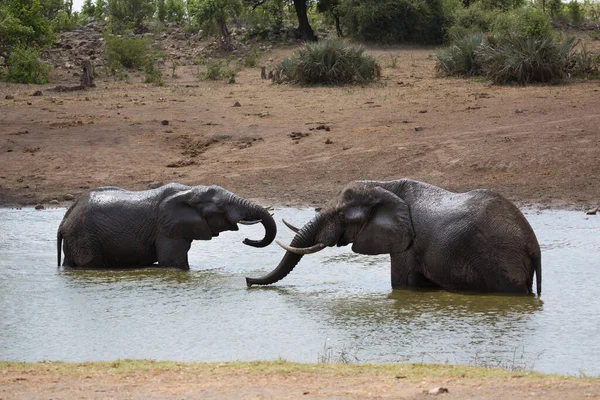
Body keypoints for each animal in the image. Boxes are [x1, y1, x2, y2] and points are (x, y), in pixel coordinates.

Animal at [57, 184, 278, 270]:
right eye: (221, 207)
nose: (246, 240)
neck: (189, 191)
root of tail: (65, 219)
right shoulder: (166, 229)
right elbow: (173, 263)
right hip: (84, 237)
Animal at [246, 178, 540, 294]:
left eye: (340, 215)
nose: (248, 280)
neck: (383, 186)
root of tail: (532, 243)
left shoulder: (408, 243)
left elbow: (402, 283)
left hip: (500, 260)